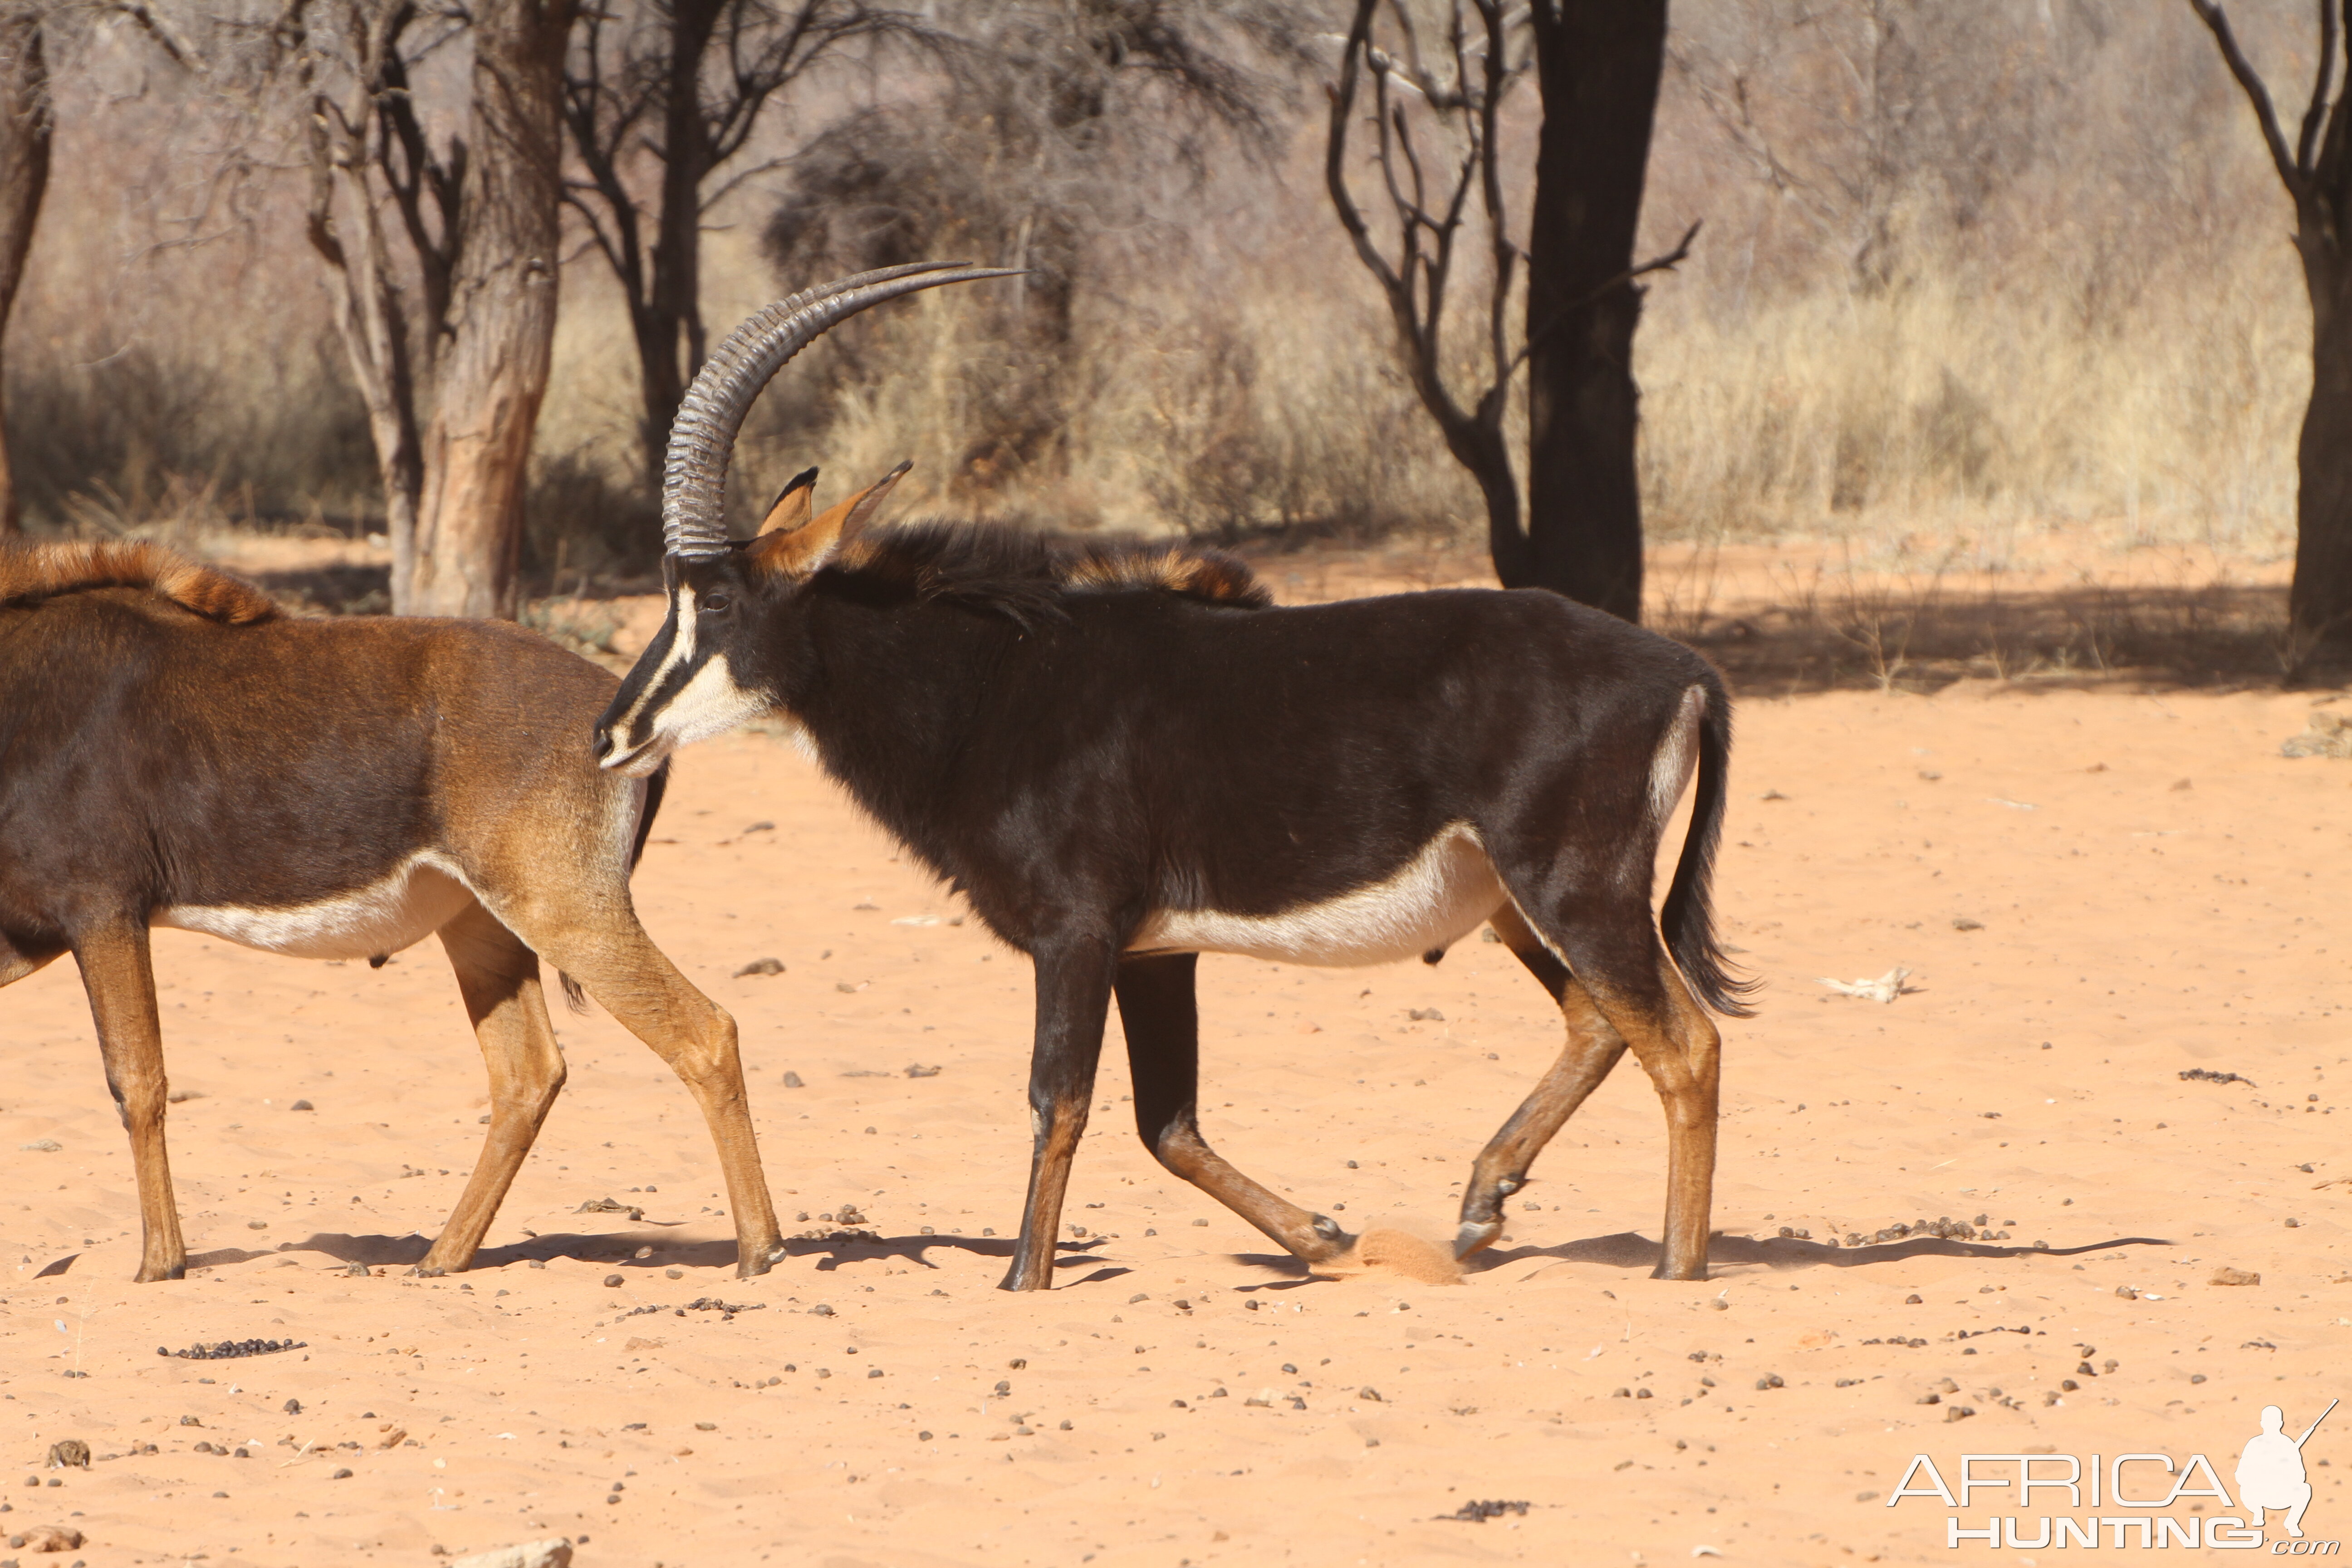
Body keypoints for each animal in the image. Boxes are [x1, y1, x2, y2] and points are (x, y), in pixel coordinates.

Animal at [0, 536, 790, 1279]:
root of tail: (621, 720)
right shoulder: (31, 935)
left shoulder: (104, 910)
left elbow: (138, 1082)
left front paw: (160, 1265)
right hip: (482, 925)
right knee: (528, 1073)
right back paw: (442, 1256)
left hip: (562, 909)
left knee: (704, 1033)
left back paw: (761, 1251)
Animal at [597, 267, 1759, 1288]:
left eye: (719, 606)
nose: (614, 732)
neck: (997, 681)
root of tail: (1680, 669)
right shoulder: (1154, 952)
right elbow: (1167, 1125)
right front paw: (1325, 1236)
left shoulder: (1075, 933)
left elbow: (1057, 1097)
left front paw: (1023, 1277)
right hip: (1515, 905)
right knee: (1600, 1023)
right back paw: (1481, 1205)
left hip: (1575, 890)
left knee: (1686, 1041)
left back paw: (1677, 1262)